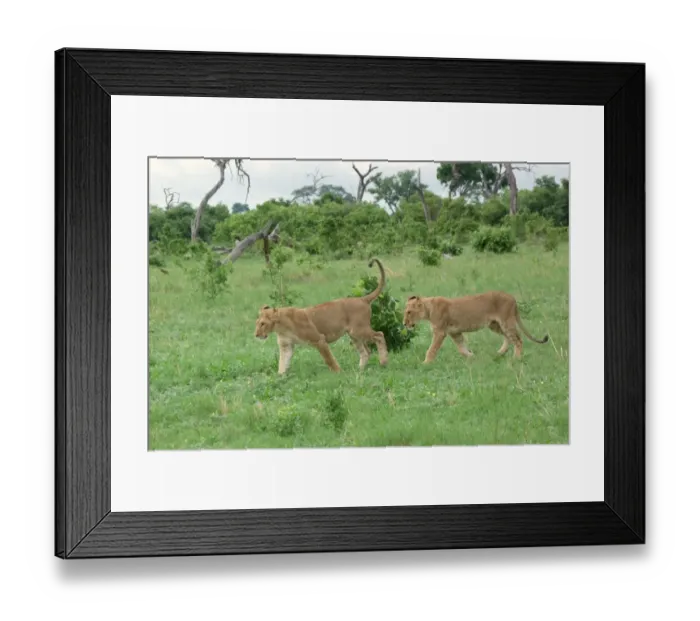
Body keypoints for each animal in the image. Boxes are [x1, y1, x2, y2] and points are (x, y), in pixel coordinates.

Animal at [254, 258, 389, 374]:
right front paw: (279, 379)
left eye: (263, 324)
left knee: (380, 335)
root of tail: (362, 299)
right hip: (354, 335)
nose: (256, 335)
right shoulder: (286, 346)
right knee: (366, 351)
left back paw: (383, 362)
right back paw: (360, 370)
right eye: (257, 323)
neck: (280, 328)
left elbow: (329, 359)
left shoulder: (319, 339)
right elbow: (282, 364)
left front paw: (339, 373)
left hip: (358, 330)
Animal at [402, 291, 549, 362]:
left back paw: (516, 358)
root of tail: (513, 298)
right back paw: (500, 353)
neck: (428, 309)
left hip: (506, 322)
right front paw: (472, 356)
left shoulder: (440, 332)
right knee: (508, 337)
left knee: (518, 340)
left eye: (409, 312)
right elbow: (461, 348)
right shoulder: (454, 332)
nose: (404, 323)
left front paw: (425, 363)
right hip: (494, 324)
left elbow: (431, 349)